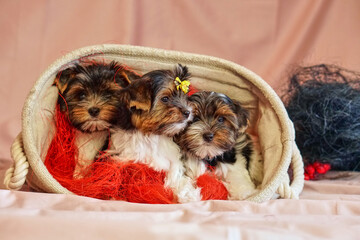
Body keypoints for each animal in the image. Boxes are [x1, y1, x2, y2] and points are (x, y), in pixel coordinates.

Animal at [107, 63, 202, 202]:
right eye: (165, 98)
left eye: (184, 97)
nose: (188, 112)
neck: (151, 134)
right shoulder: (124, 155)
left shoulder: (174, 157)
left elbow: (175, 173)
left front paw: (188, 195)